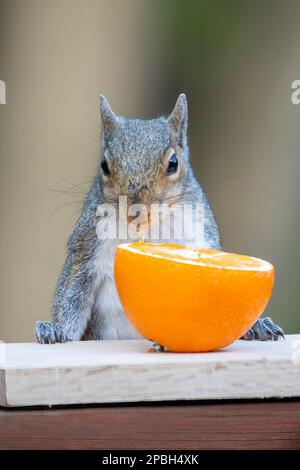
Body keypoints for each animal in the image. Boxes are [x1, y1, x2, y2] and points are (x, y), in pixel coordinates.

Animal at [35, 94, 284, 346]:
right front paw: (55, 330)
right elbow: (71, 296)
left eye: (174, 163)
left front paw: (254, 325)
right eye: (104, 166)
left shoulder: (202, 239)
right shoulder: (86, 249)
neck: (152, 228)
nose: (136, 211)